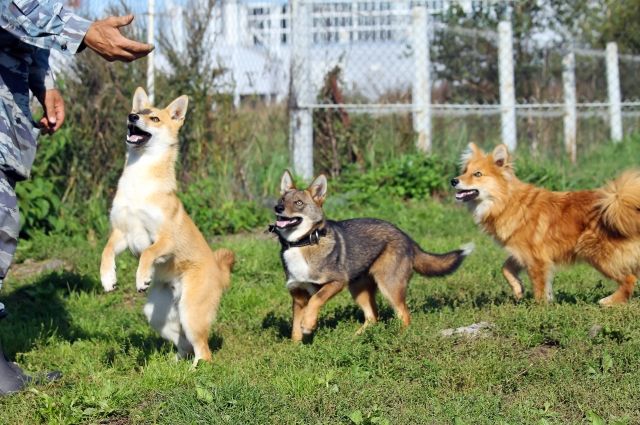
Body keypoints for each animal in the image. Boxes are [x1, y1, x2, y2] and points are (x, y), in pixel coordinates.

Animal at [102, 88, 235, 362]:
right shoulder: (122, 232)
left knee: (204, 351)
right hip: (158, 315)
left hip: (191, 312)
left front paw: (141, 276)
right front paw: (107, 278)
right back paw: (175, 364)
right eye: (137, 112)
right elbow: (106, 251)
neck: (139, 180)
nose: (131, 117)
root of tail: (219, 272)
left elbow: (148, 253)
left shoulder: (165, 239)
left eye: (154, 118)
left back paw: (198, 369)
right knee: (184, 344)